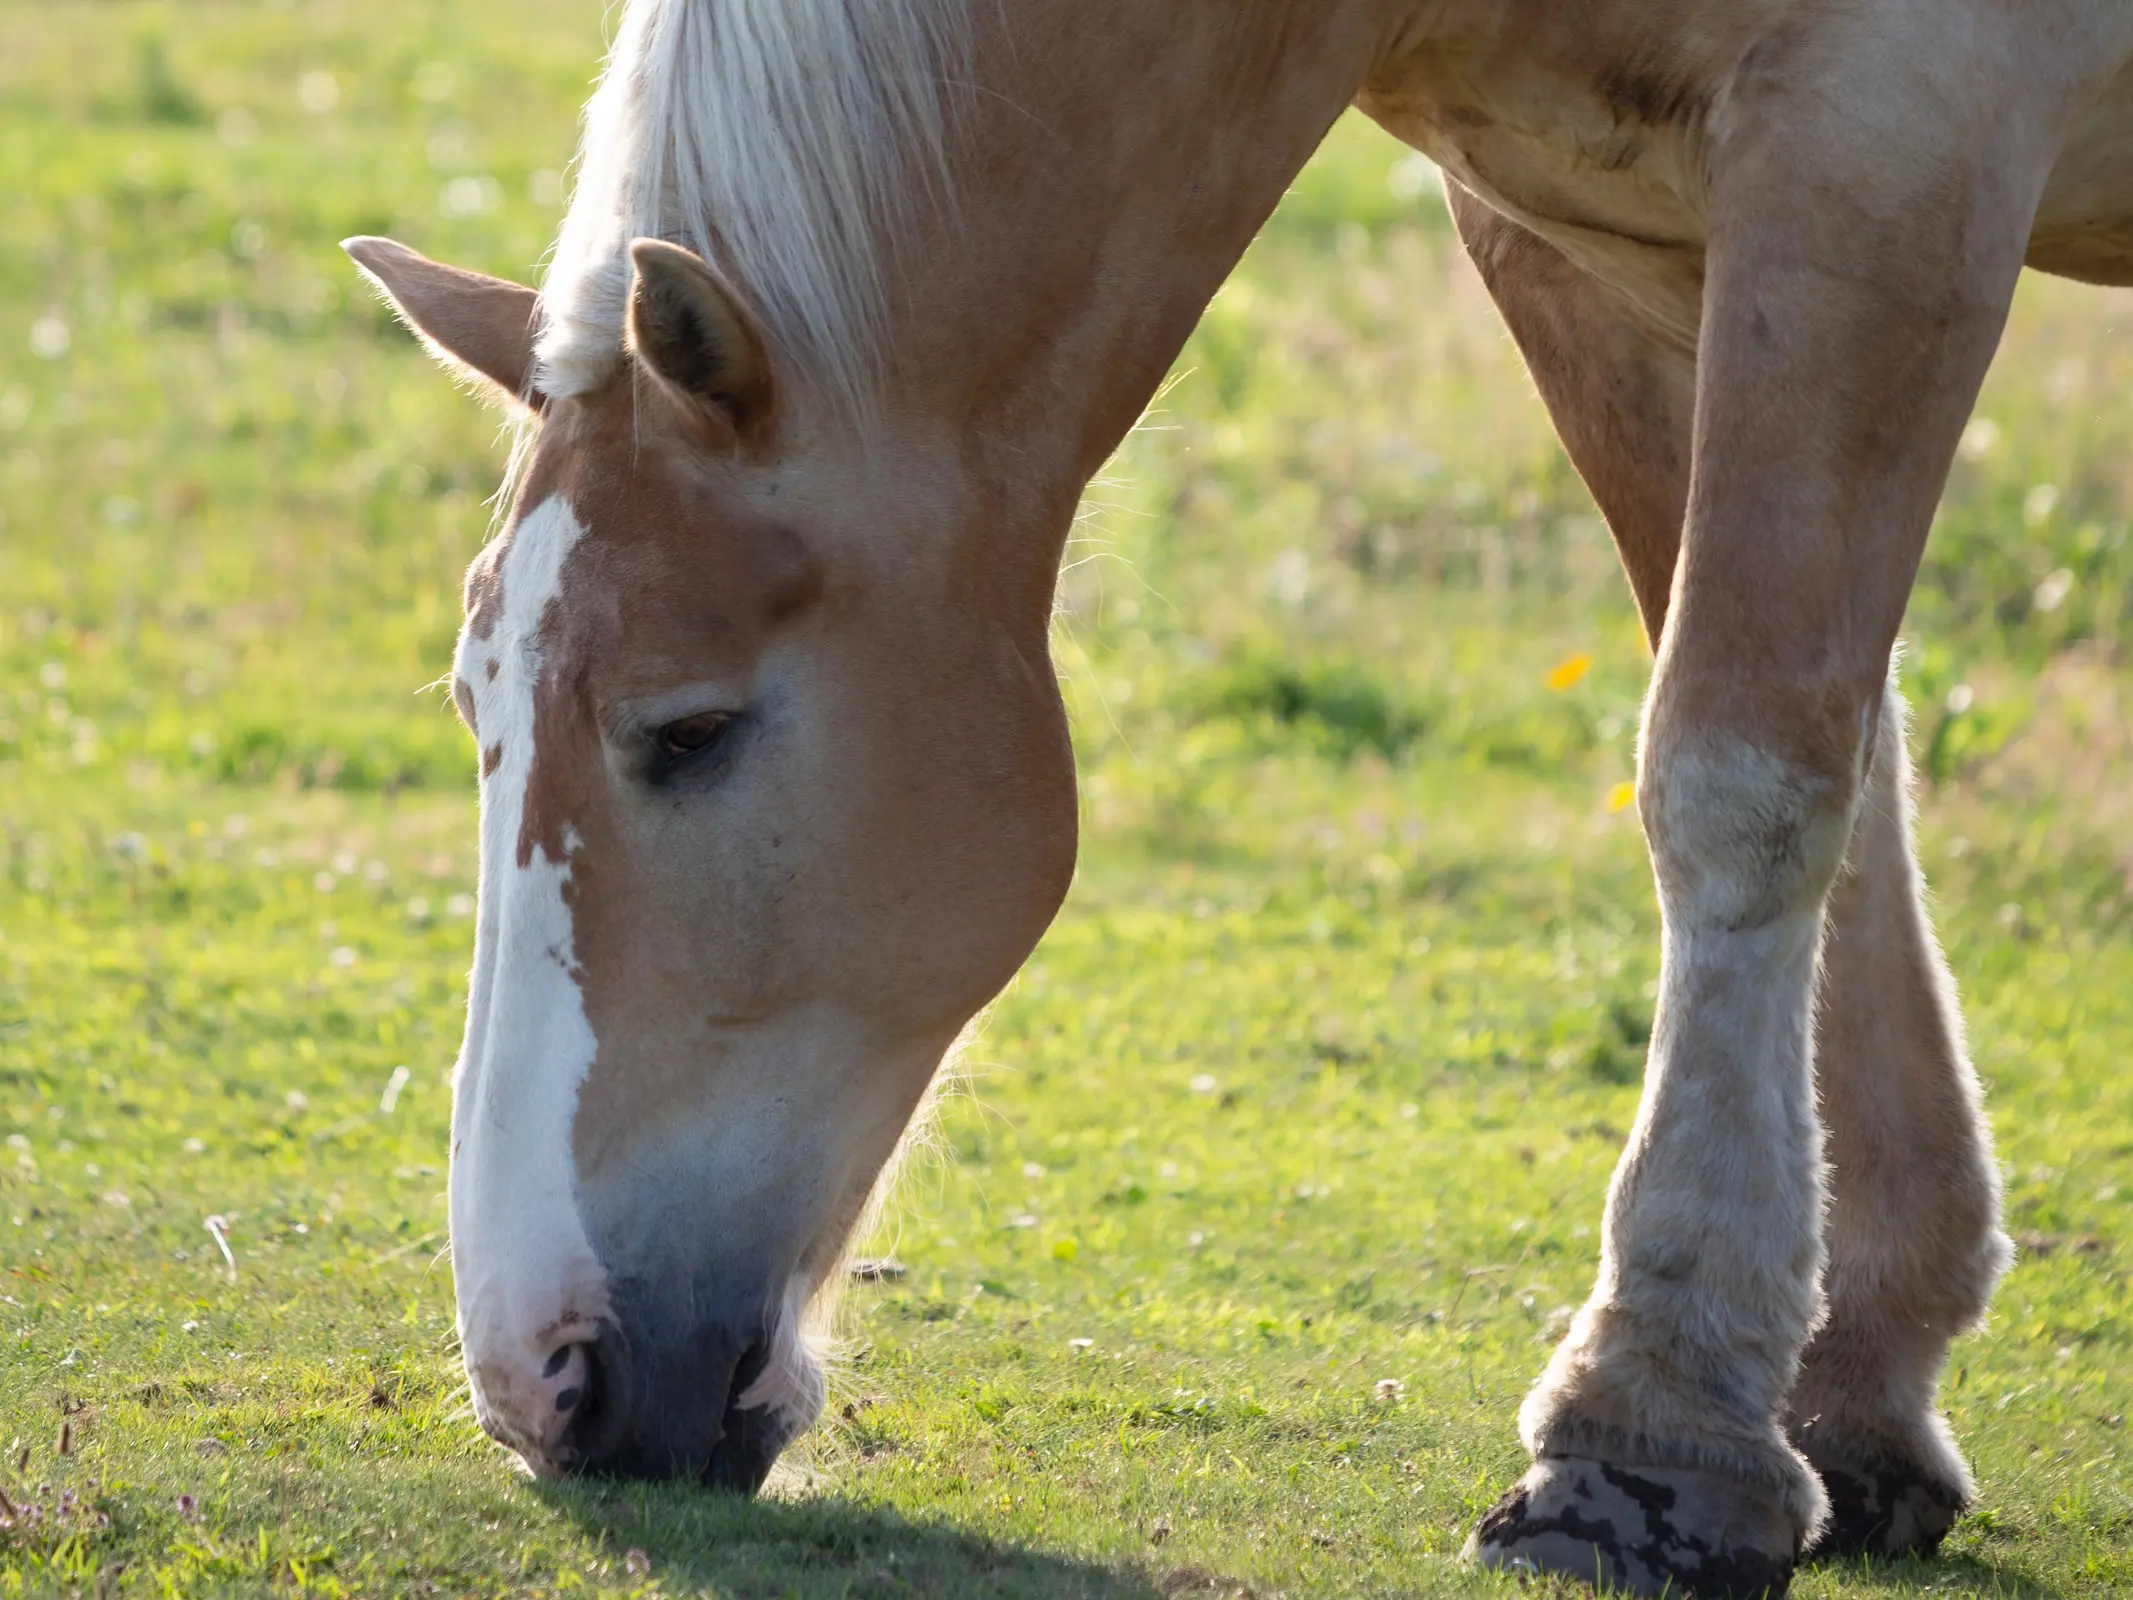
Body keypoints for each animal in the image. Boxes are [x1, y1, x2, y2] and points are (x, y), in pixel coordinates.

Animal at [345, 0, 2133, 1595]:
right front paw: (1854, 1377)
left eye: (691, 732)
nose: (540, 1381)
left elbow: (1741, 770)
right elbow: (1841, 756)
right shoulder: (1590, 240)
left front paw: (1647, 1435)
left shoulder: (1880, 153)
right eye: (475, 708)